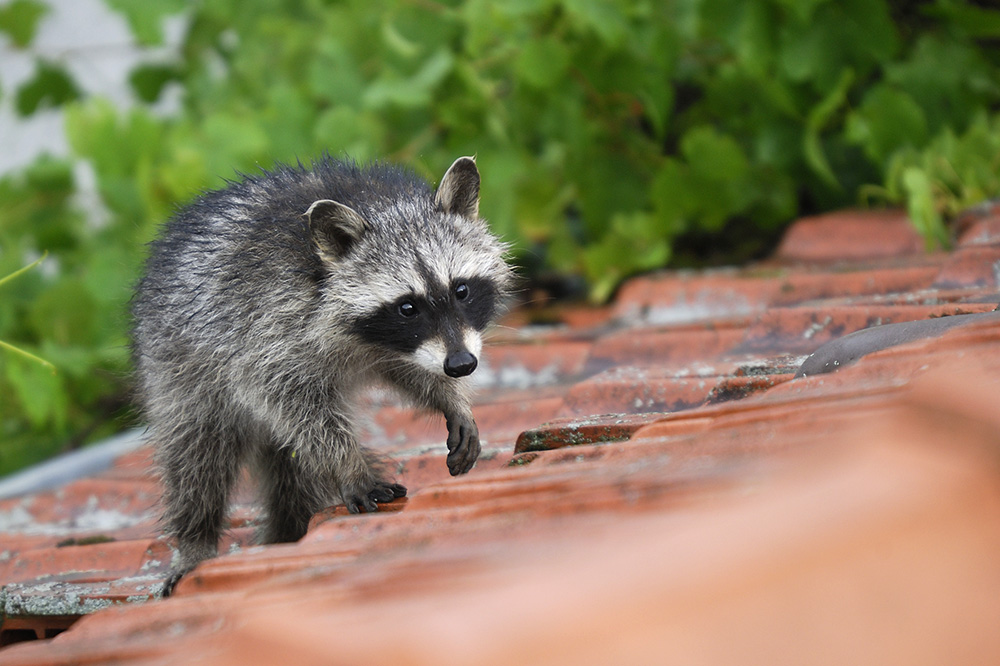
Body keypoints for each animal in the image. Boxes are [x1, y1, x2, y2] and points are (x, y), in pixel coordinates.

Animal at [129, 154, 512, 588]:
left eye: (461, 289)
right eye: (407, 306)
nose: (462, 365)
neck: (384, 206)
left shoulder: (398, 347)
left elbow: (410, 369)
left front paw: (451, 400)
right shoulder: (267, 322)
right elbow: (290, 400)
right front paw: (347, 463)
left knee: (293, 474)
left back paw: (289, 527)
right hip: (179, 365)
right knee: (197, 455)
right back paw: (196, 540)